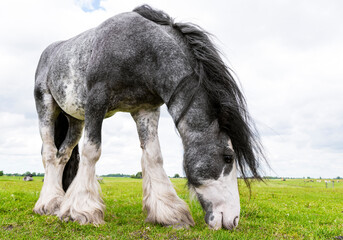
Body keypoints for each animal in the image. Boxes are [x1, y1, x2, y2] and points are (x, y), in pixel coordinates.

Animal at [33, 4, 264, 230]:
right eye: (228, 157)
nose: (234, 220)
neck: (143, 50)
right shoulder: (96, 101)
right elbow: (92, 151)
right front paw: (81, 210)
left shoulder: (146, 109)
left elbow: (153, 156)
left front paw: (169, 213)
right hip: (45, 106)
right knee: (49, 153)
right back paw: (48, 203)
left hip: (75, 120)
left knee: (62, 154)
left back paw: (57, 201)